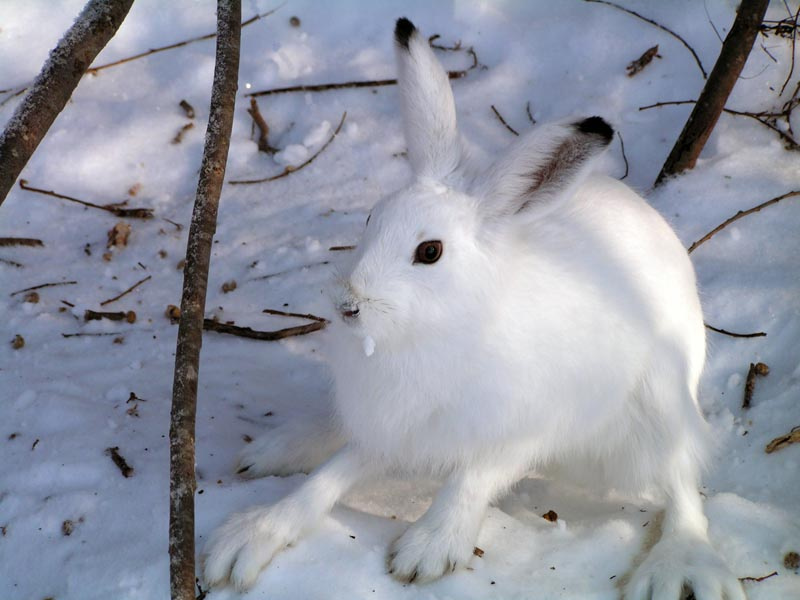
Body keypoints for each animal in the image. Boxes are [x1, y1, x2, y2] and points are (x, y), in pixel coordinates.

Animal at [203, 17, 744, 600]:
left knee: (681, 484)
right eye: (370, 219)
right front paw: (249, 536)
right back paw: (277, 449)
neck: (437, 328)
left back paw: (678, 563)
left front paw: (426, 550)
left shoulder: (518, 427)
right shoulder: (394, 424)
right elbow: (330, 477)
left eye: (430, 252)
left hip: (656, 404)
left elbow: (471, 478)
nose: (349, 305)